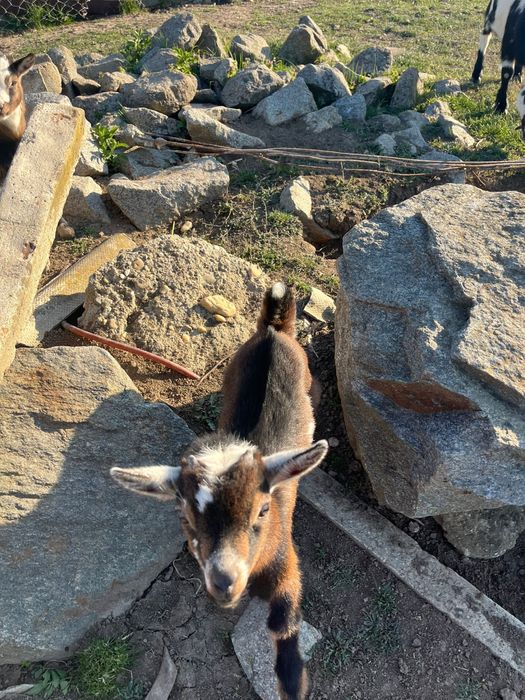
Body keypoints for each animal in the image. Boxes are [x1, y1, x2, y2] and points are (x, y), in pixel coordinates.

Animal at [111, 282, 328, 700]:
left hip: (308, 378)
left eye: (263, 510)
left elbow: (284, 620)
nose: (226, 584)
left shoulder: (285, 557)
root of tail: (273, 329)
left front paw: (292, 681)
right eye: (185, 515)